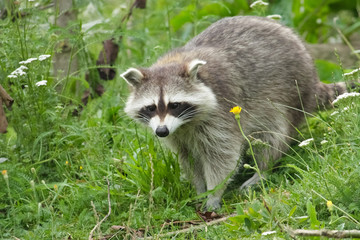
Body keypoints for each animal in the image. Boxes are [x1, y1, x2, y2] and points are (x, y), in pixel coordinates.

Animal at [121, 15, 348, 209]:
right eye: (151, 107)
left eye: (174, 105)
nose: (161, 132)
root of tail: (312, 77)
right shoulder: (178, 135)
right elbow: (189, 159)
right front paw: (199, 188)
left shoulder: (221, 112)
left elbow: (223, 156)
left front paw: (213, 193)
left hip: (290, 94)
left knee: (271, 137)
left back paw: (262, 170)